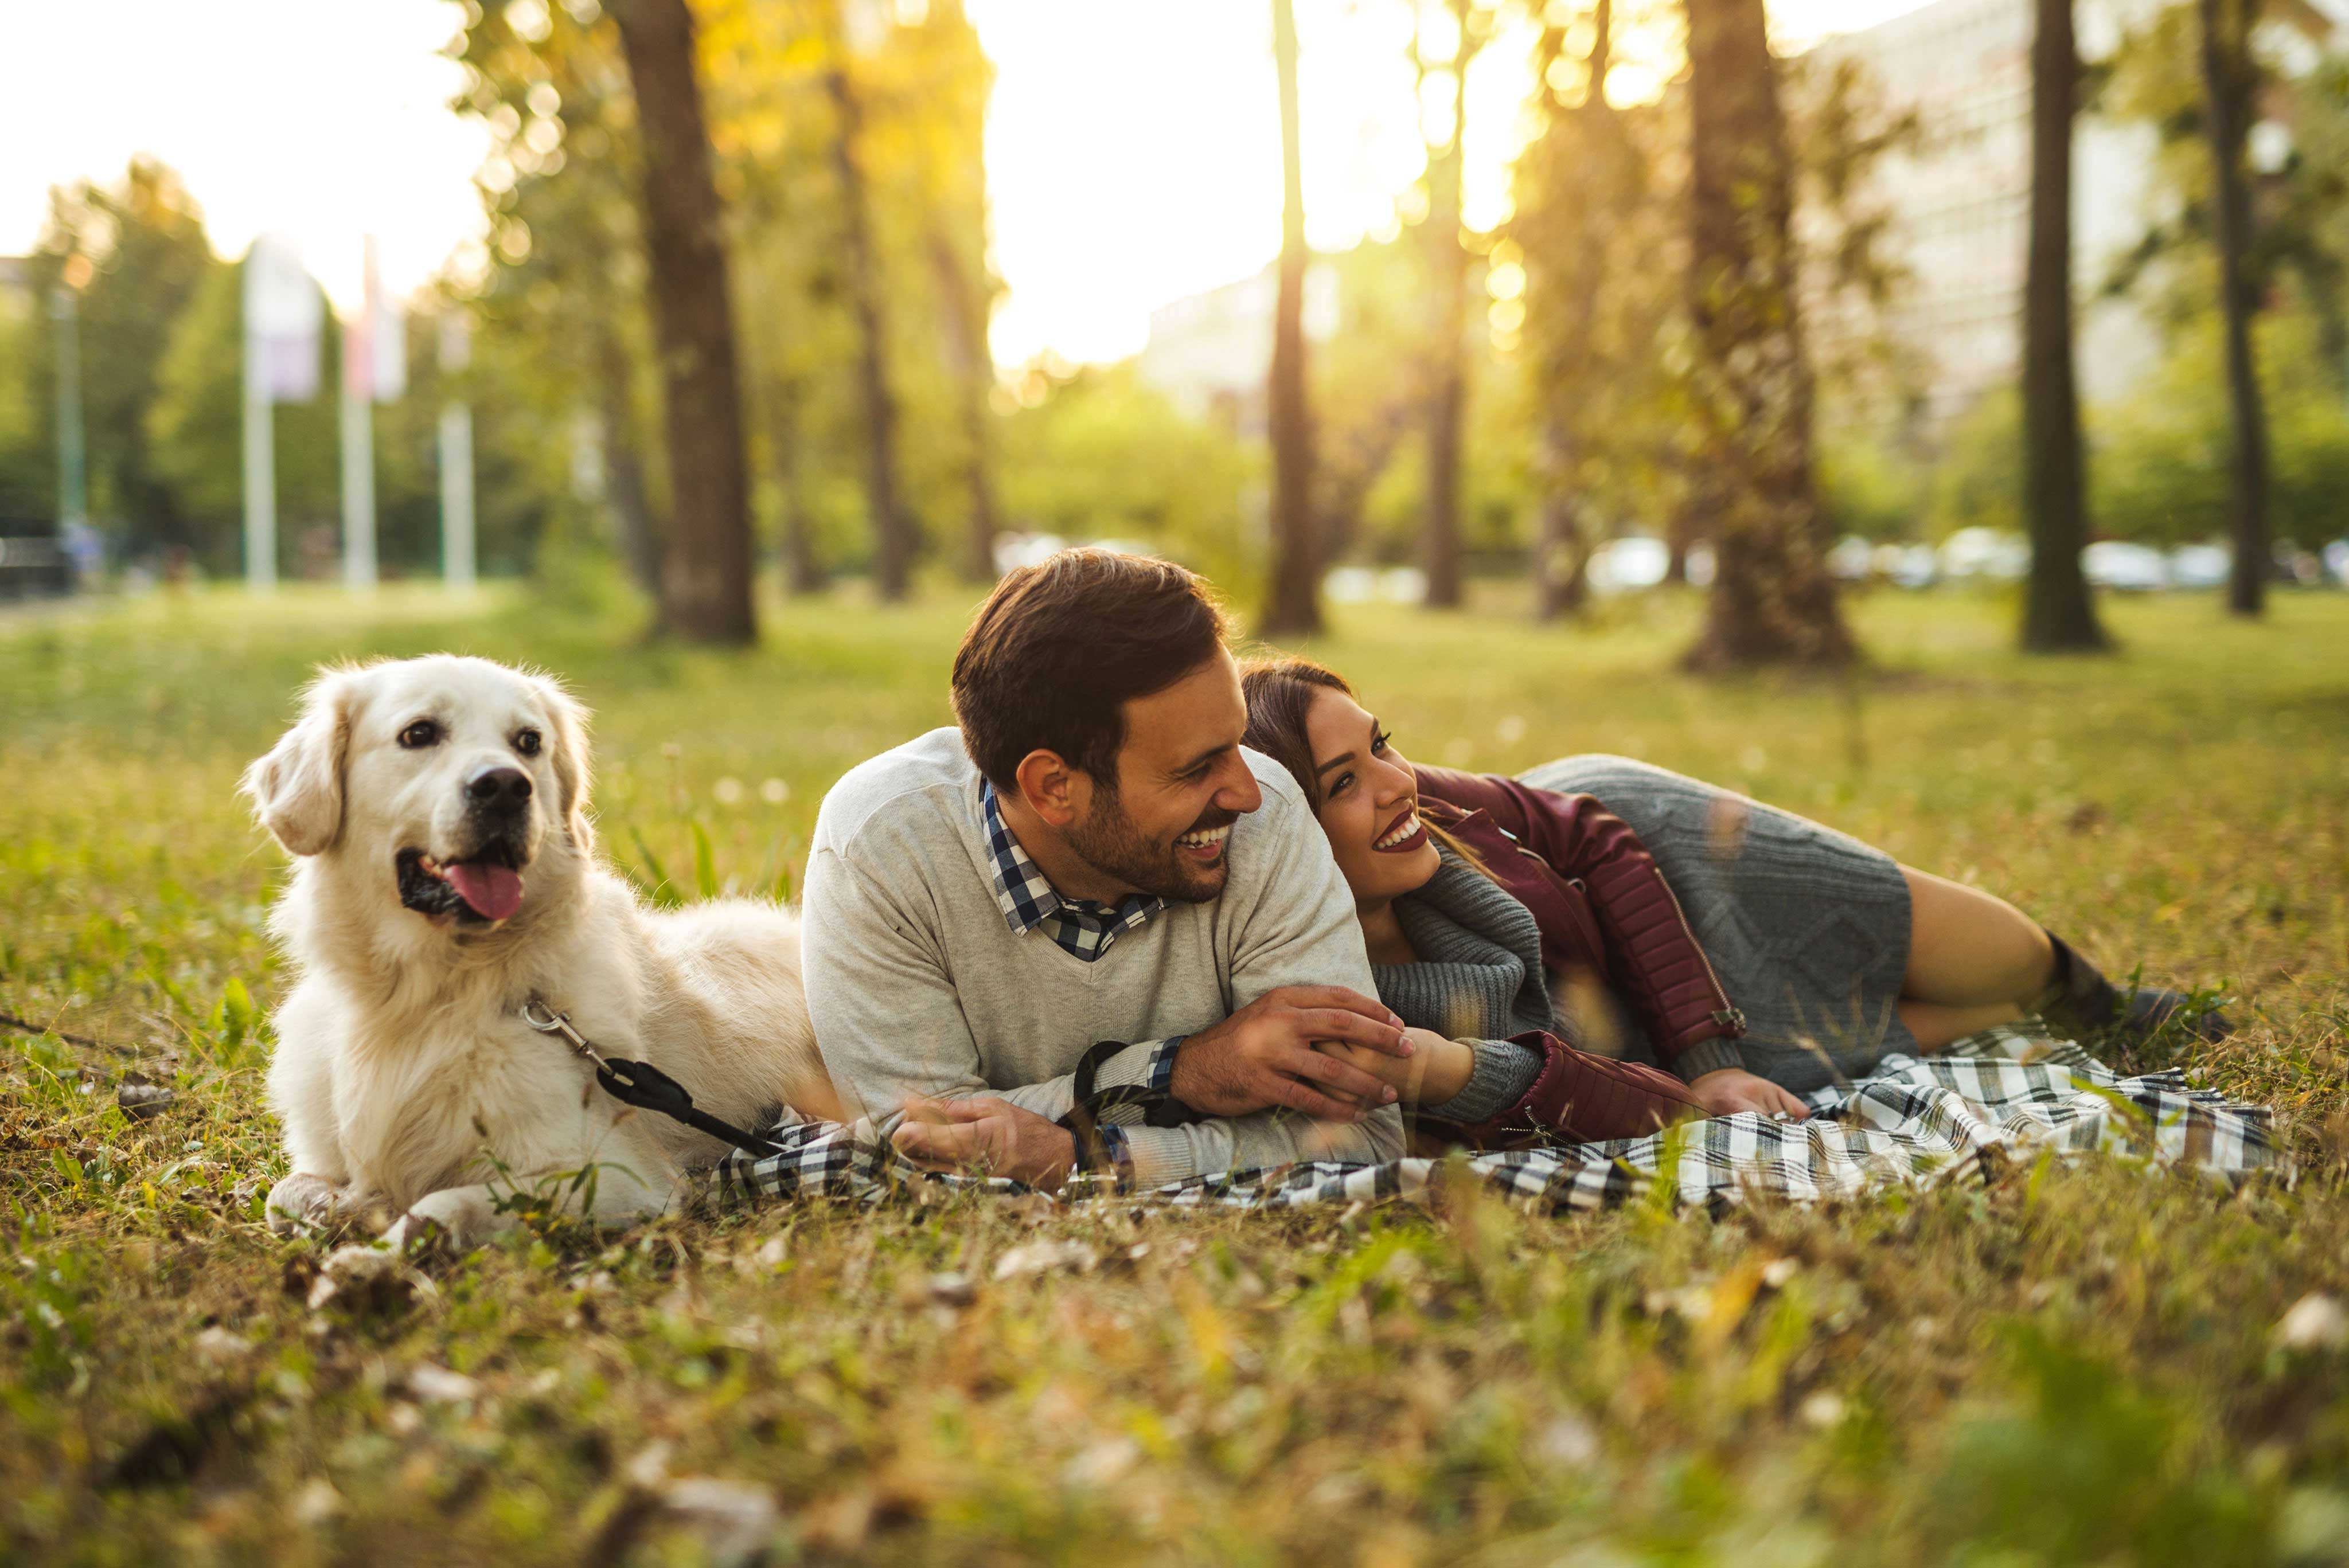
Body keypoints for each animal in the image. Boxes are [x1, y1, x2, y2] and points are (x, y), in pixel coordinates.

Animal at [245, 657, 836, 1258]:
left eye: (528, 742)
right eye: (419, 733)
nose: (506, 787)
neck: (432, 995)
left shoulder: (622, 1178)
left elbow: (445, 1201)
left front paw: (370, 1259)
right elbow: (285, 1194)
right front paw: (348, 1207)